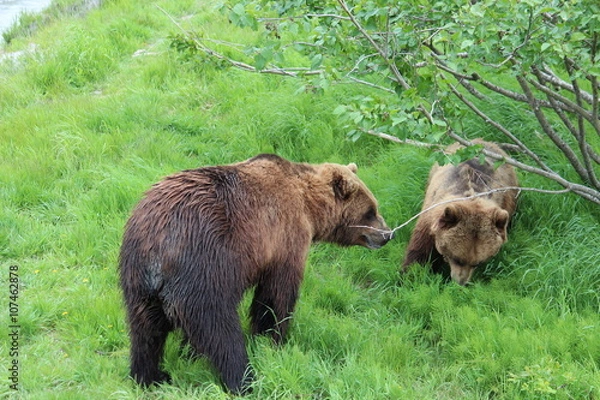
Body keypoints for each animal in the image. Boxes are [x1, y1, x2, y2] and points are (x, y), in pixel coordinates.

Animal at [400, 139, 516, 286]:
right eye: (457, 258)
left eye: (478, 263)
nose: (460, 283)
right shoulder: (430, 217)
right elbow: (420, 251)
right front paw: (410, 276)